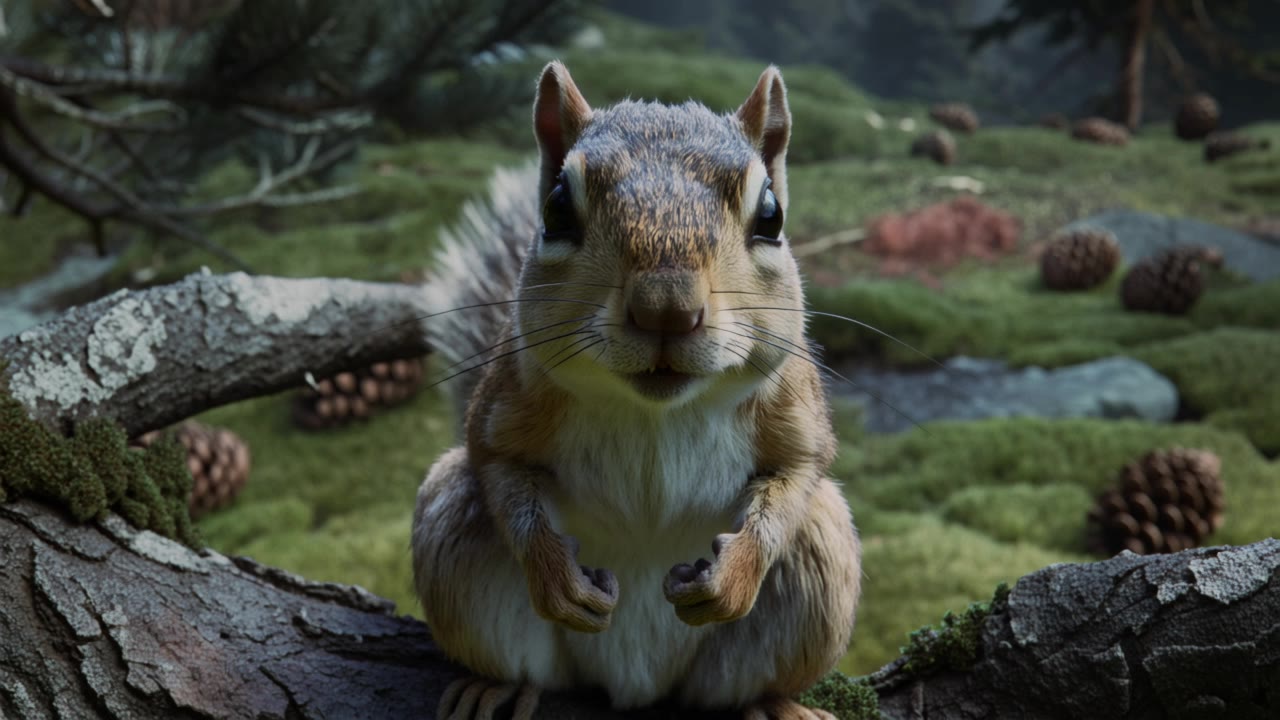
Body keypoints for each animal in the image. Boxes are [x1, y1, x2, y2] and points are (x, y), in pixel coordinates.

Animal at [412, 61, 862, 720]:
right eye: (555, 210)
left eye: (771, 217)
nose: (665, 308)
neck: (656, 413)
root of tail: (635, 684)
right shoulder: (502, 410)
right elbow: (500, 469)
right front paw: (554, 573)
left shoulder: (796, 416)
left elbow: (797, 474)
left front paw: (735, 575)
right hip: (454, 535)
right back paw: (499, 686)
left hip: (817, 565)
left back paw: (772, 703)